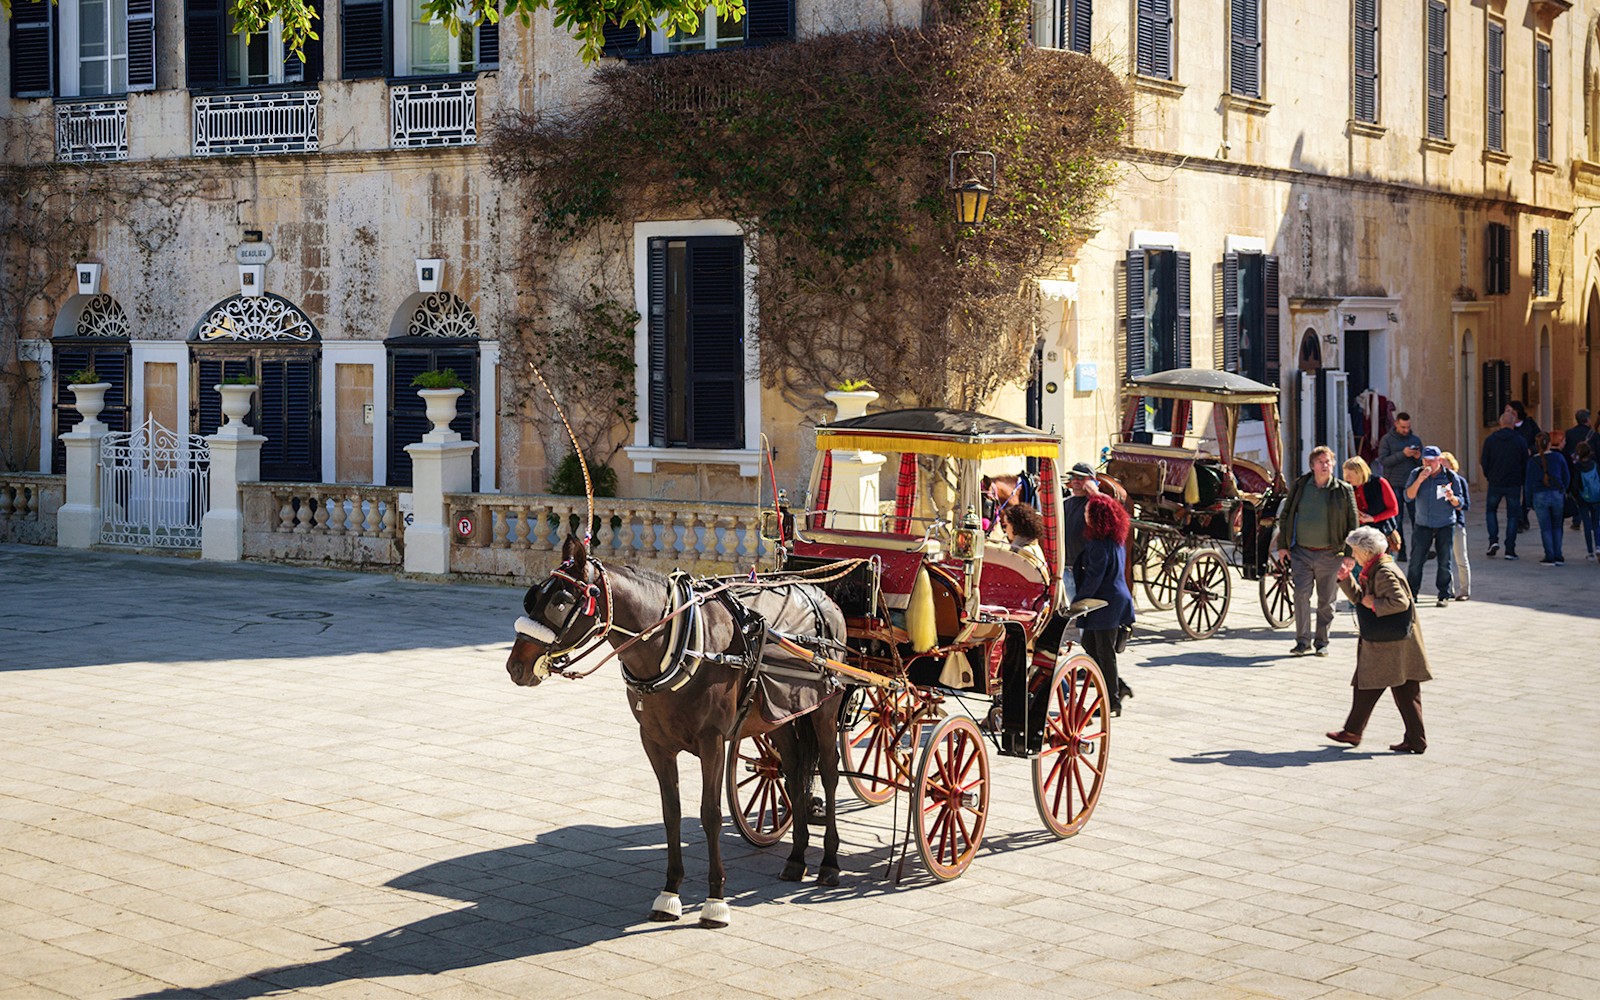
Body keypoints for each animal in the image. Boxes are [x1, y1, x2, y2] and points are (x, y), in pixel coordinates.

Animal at [505, 536, 849, 928]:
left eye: (560, 603)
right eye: (532, 596)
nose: (516, 666)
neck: (679, 642)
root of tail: (823, 595)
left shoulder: (713, 742)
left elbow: (710, 815)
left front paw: (715, 901)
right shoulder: (655, 743)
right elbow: (671, 813)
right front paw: (670, 893)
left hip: (824, 708)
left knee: (828, 771)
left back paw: (829, 863)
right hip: (778, 715)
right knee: (792, 770)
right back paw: (796, 858)